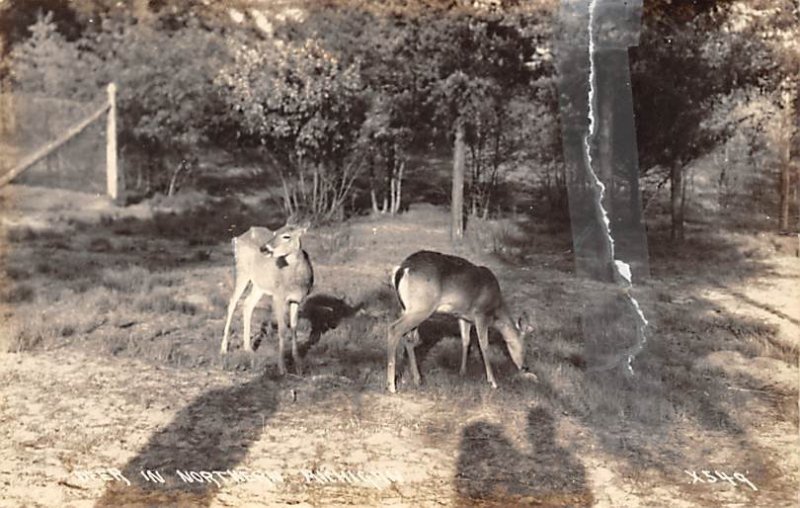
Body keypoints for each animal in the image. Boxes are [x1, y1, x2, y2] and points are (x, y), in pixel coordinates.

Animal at [223, 221, 318, 374]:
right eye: (275, 232)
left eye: (286, 236)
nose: (264, 248)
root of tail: (237, 238)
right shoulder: (278, 297)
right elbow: (282, 329)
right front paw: (282, 367)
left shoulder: (297, 299)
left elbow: (294, 327)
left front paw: (298, 363)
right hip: (242, 270)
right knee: (233, 302)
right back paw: (223, 349)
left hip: (259, 284)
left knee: (248, 304)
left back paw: (248, 349)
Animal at [388, 250, 532, 392]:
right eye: (523, 349)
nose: (525, 366)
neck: (495, 310)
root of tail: (402, 269)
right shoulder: (481, 314)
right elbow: (483, 345)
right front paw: (493, 382)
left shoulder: (463, 316)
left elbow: (465, 341)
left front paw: (462, 372)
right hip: (421, 307)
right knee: (394, 329)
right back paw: (391, 386)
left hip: (407, 308)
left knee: (409, 339)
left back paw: (415, 380)